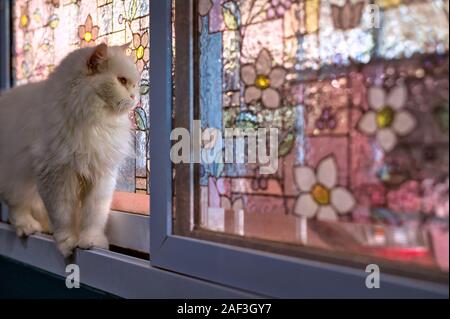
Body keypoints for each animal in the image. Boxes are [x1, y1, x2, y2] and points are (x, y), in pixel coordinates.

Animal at [0, 43, 139, 258]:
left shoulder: (101, 176)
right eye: (122, 81)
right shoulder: (55, 175)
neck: (93, 122)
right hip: (16, 179)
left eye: (135, 83)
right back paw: (28, 227)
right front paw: (68, 244)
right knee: (16, 208)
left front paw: (91, 242)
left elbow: (94, 216)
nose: (135, 96)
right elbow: (62, 215)